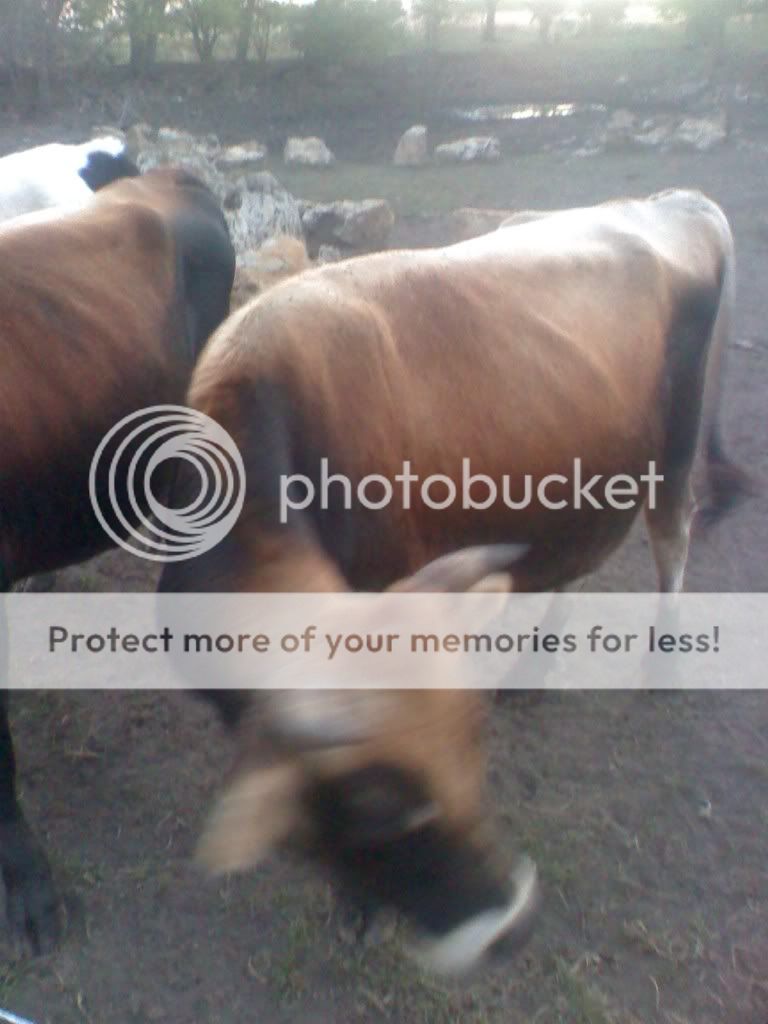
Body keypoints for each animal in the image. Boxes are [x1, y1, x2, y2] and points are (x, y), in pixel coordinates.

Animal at [158, 188, 752, 974]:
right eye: (375, 810)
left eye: (473, 749)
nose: (512, 926)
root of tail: (670, 202)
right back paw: (532, 671)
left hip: (674, 451)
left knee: (672, 538)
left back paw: (661, 666)